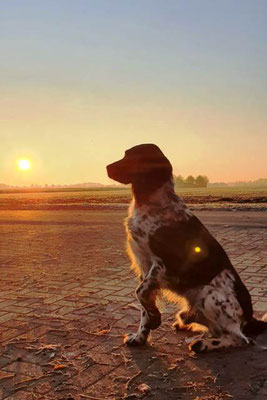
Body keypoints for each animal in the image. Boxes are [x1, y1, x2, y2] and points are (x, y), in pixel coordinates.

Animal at [106, 144, 266, 354]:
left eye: (130, 156)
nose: (107, 167)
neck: (153, 203)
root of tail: (250, 319)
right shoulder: (144, 266)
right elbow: (143, 303)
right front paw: (140, 336)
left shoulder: (163, 265)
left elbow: (140, 293)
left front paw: (155, 318)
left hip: (209, 294)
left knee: (240, 338)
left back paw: (202, 344)